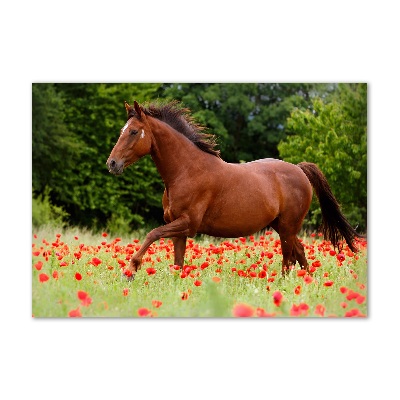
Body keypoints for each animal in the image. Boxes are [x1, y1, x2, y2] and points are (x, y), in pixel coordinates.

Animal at [107, 100, 362, 282]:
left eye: (133, 132)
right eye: (122, 130)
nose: (112, 163)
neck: (186, 171)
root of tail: (300, 170)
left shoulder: (188, 224)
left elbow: (152, 234)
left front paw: (130, 270)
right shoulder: (178, 229)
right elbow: (178, 263)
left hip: (288, 227)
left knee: (288, 256)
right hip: (282, 226)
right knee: (299, 253)